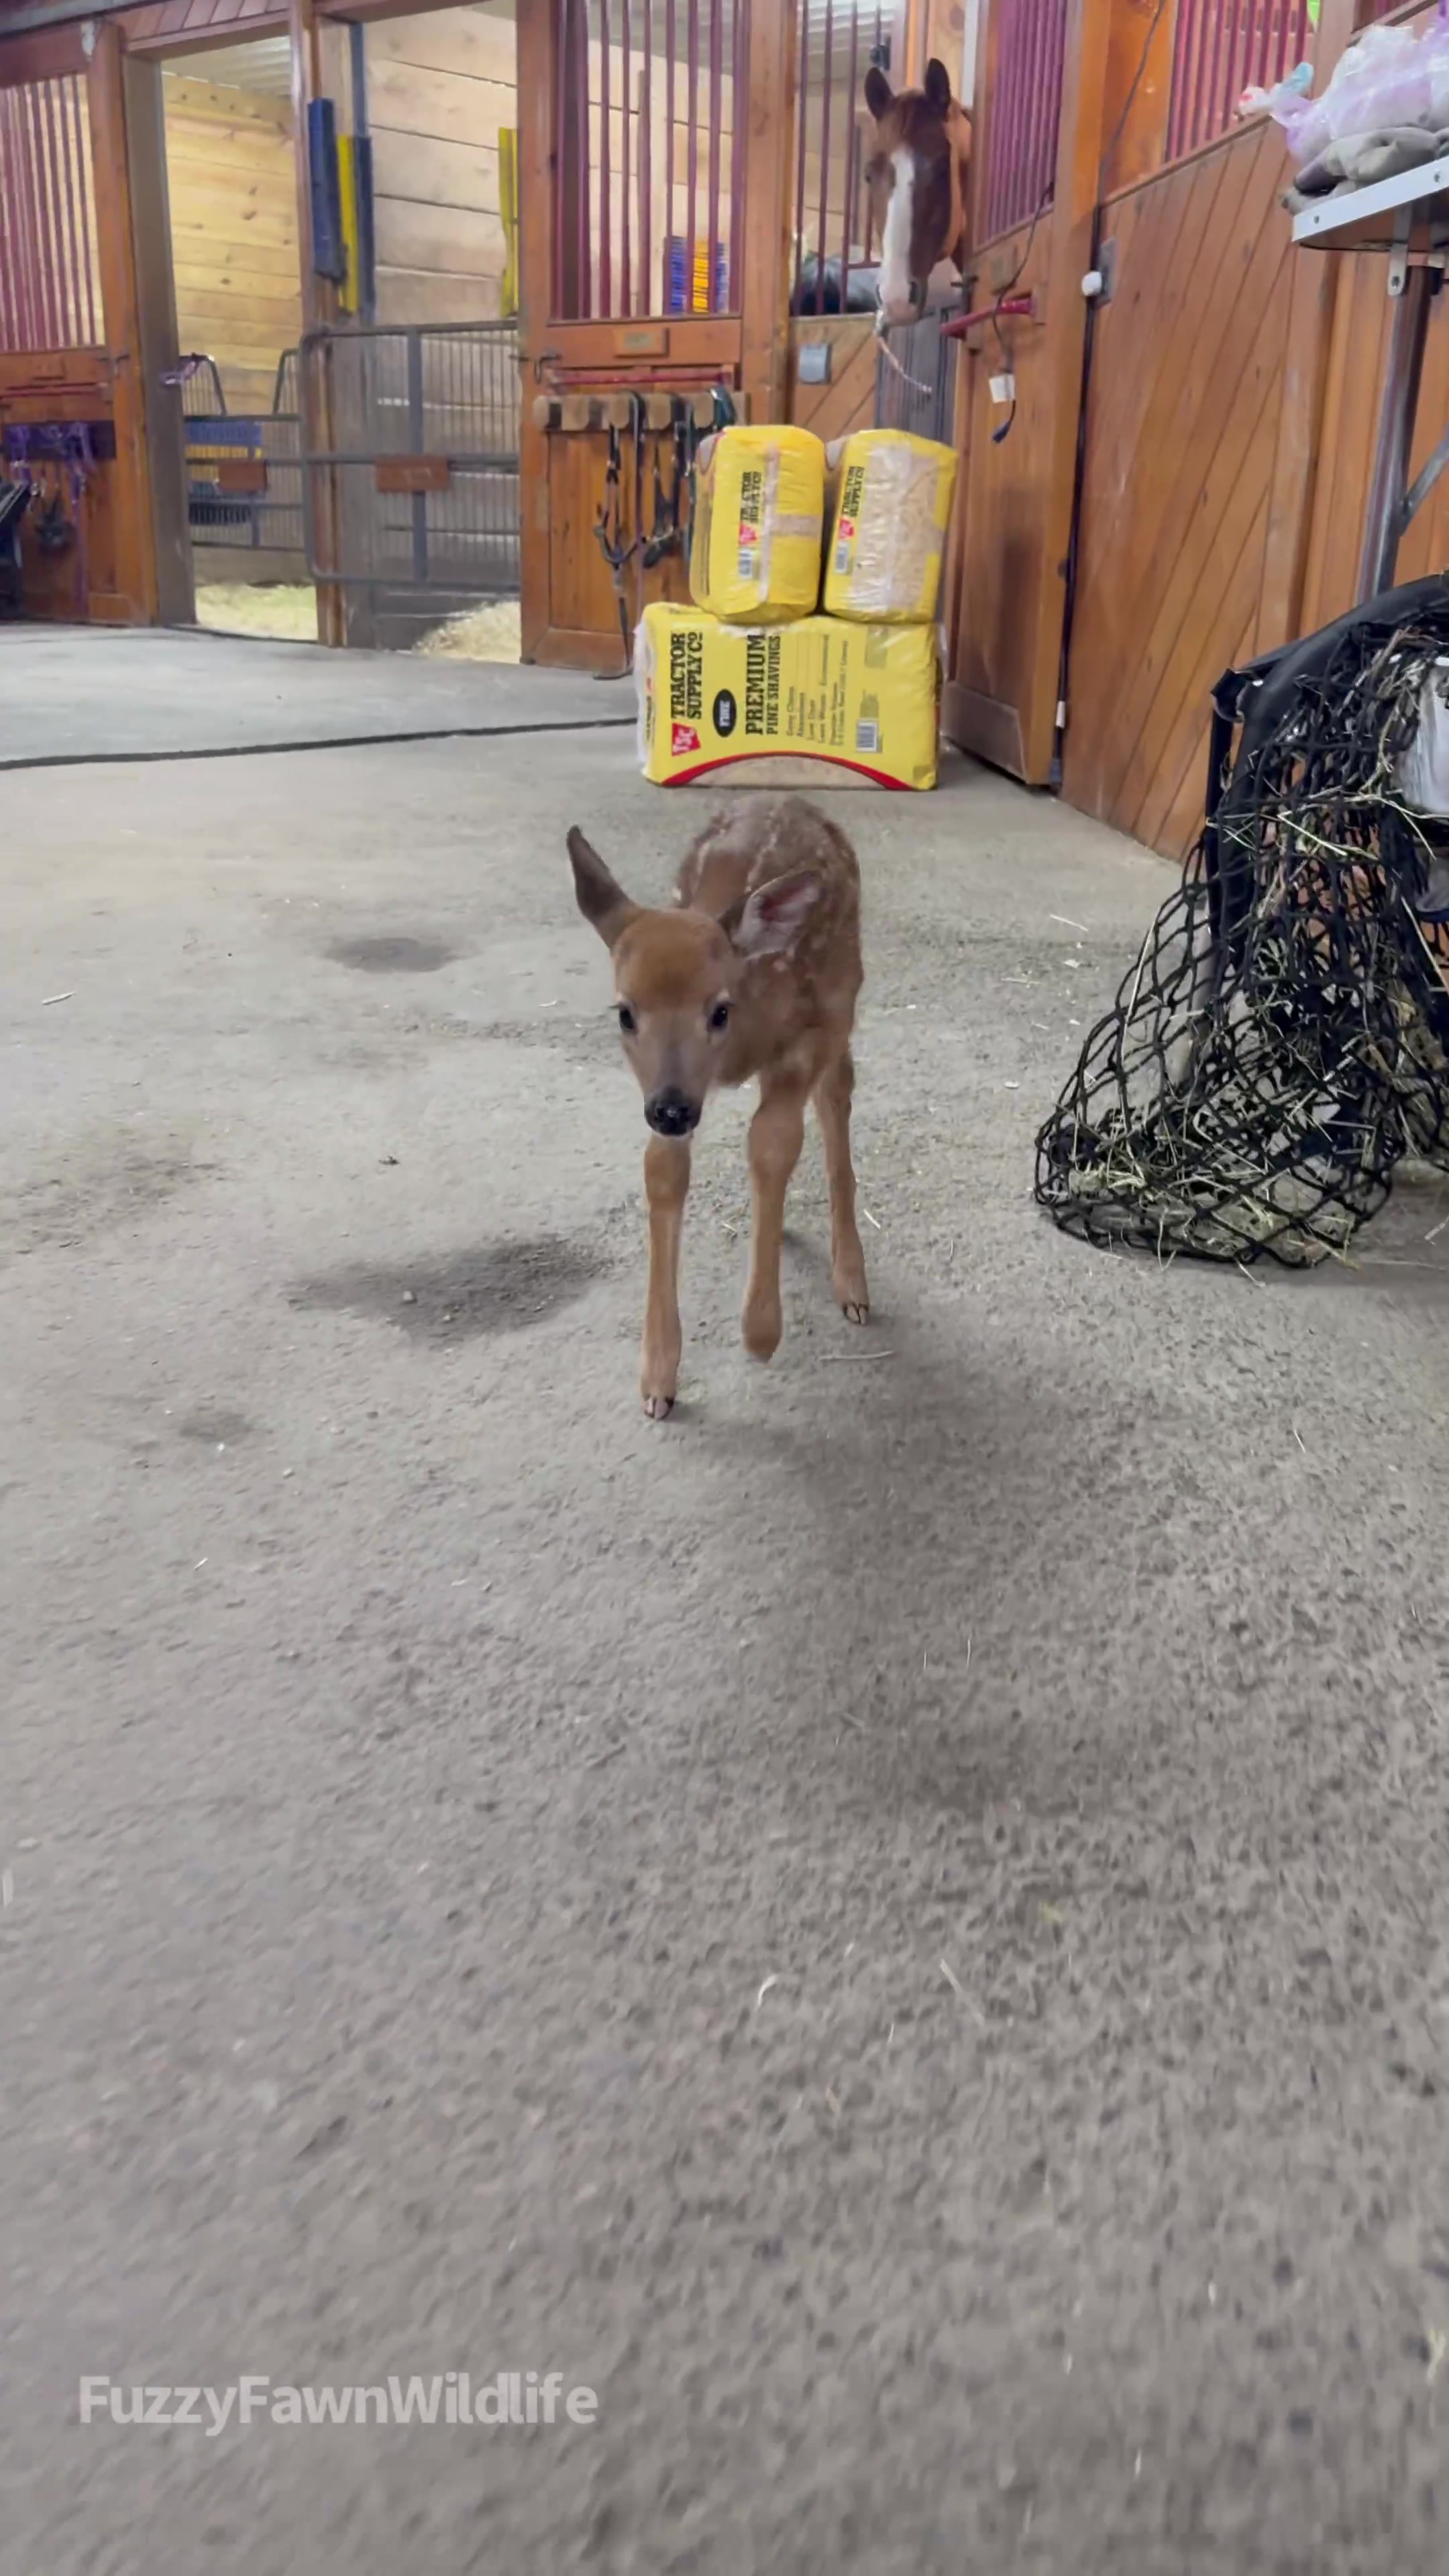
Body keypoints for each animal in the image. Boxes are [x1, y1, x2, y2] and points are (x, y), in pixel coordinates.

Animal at [566, 797, 870, 1417]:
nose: (671, 1110)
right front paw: (658, 1376)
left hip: (843, 994)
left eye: (719, 1010)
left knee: (836, 1102)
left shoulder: (809, 1038)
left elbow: (772, 1142)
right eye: (625, 1012)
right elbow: (663, 1171)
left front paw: (761, 1332)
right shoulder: (668, 1090)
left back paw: (852, 1283)